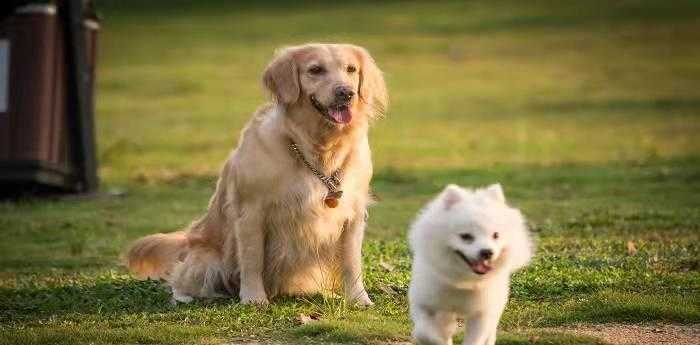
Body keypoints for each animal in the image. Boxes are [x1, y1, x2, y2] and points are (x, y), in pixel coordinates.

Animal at [408, 183, 532, 344]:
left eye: (496, 235)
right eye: (466, 236)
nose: (487, 252)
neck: (463, 281)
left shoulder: (482, 313)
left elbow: (475, 338)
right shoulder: (423, 303)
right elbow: (424, 332)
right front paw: (441, 337)